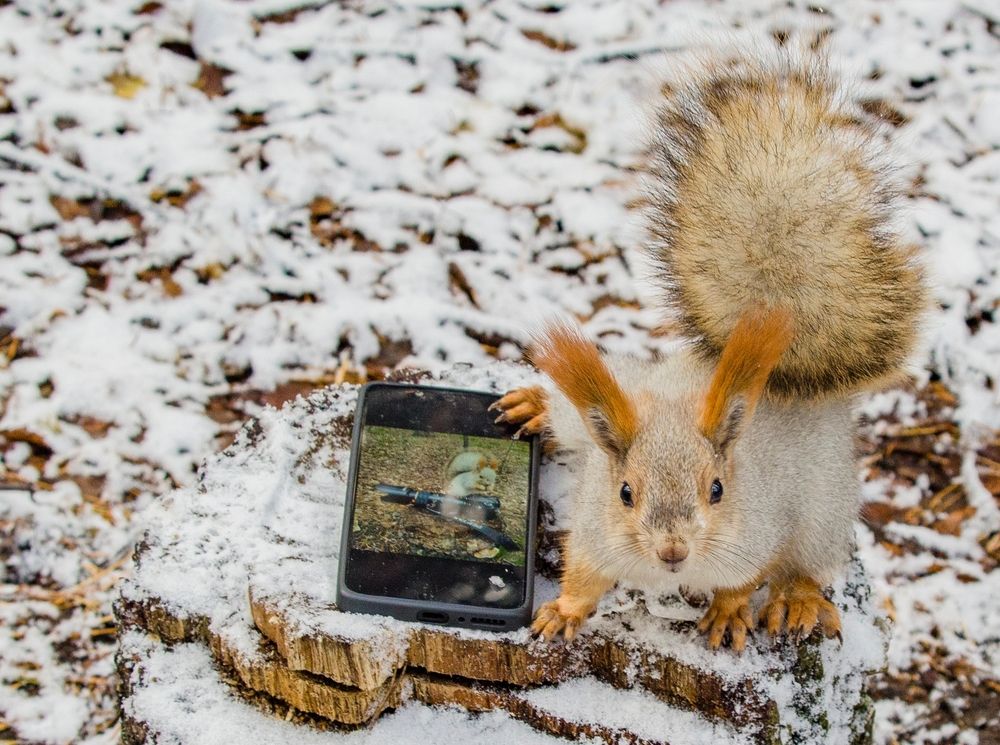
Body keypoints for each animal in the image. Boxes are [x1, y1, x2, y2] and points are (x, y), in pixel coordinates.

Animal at [490, 51, 926, 651]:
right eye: (626, 493)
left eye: (717, 490)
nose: (673, 550)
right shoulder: (598, 530)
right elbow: (582, 573)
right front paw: (563, 611)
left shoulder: (756, 536)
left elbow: (743, 582)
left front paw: (726, 613)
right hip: (618, 397)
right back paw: (535, 405)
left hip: (824, 507)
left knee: (809, 563)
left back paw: (798, 601)